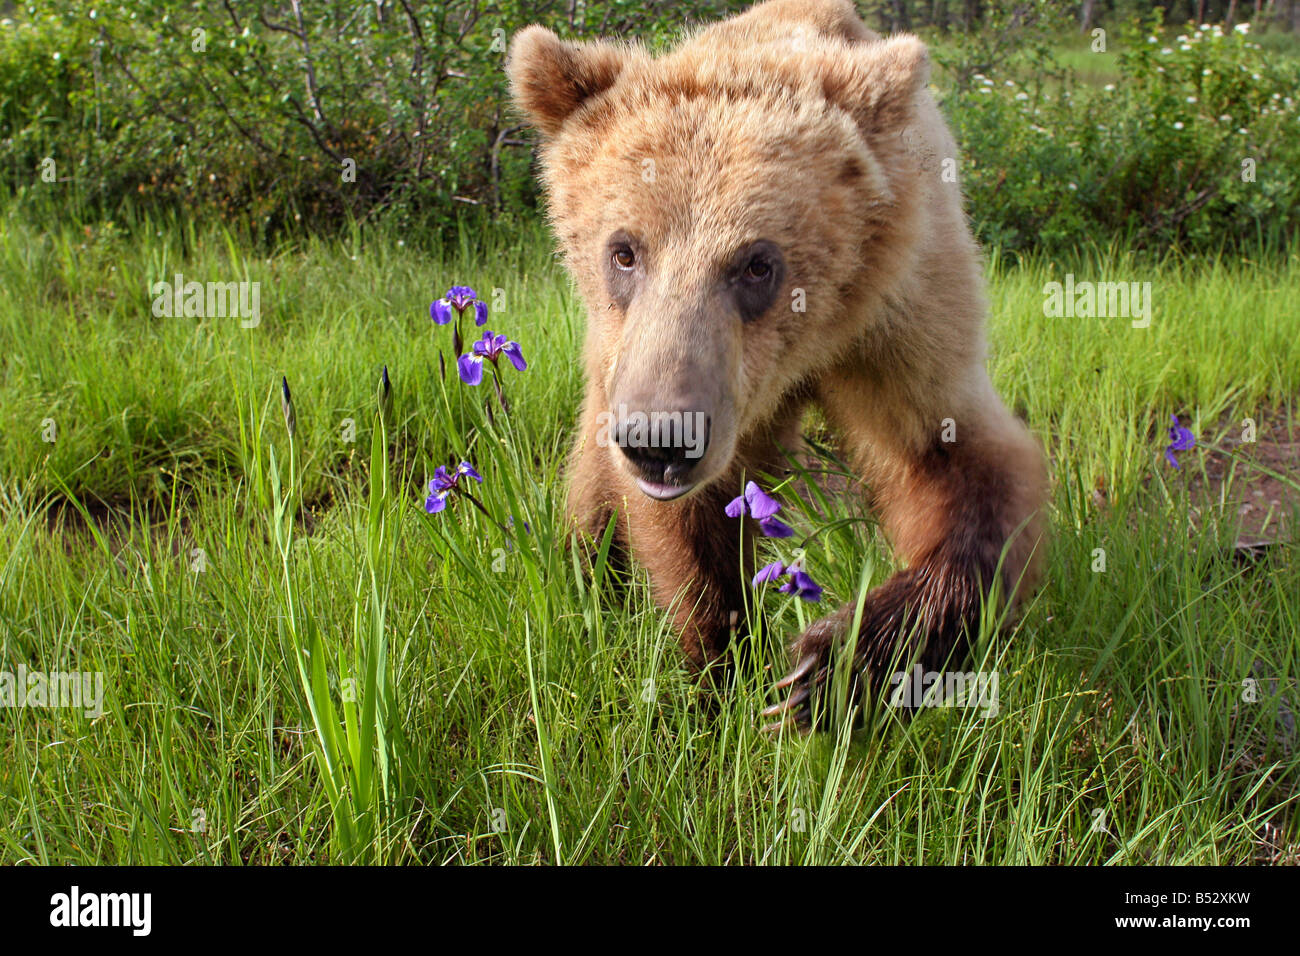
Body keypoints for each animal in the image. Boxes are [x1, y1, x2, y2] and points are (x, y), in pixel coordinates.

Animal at [504, 0, 1045, 728]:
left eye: (758, 263)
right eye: (624, 250)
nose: (660, 442)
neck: (806, 352)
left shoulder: (900, 316)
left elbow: (958, 463)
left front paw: (829, 666)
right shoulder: (639, 367)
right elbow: (687, 532)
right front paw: (724, 664)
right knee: (591, 484)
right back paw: (588, 572)